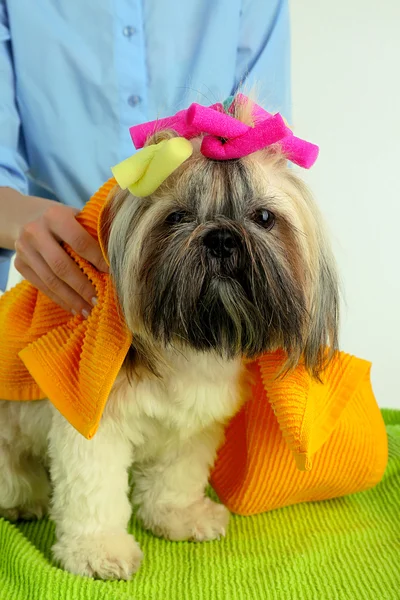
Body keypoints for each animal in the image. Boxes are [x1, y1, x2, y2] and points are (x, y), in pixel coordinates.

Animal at [0, 96, 338, 580]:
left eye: (264, 217)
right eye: (178, 217)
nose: (221, 238)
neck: (188, 343)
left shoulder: (194, 424)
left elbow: (176, 477)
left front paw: (179, 516)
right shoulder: (93, 421)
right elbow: (93, 491)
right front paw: (98, 550)